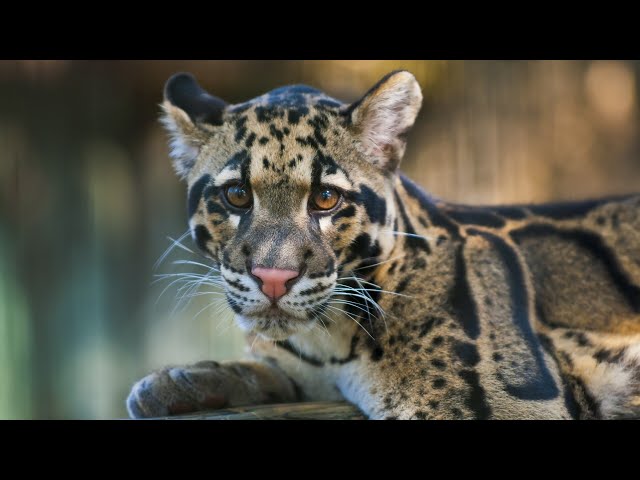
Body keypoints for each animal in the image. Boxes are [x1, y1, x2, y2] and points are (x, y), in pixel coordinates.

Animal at [126, 69, 640, 418]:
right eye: (236, 195)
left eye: (326, 198)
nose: (273, 278)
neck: (328, 342)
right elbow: (271, 367)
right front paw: (187, 378)